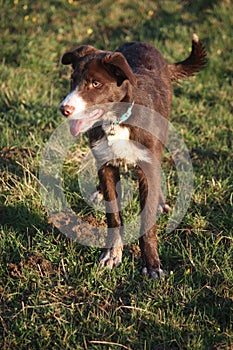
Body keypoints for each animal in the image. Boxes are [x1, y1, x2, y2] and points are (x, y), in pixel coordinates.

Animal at [59, 32, 206, 278]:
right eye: (73, 79)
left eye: (96, 83)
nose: (64, 109)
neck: (116, 121)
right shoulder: (106, 166)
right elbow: (113, 216)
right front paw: (112, 254)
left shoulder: (147, 165)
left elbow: (147, 221)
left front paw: (152, 265)